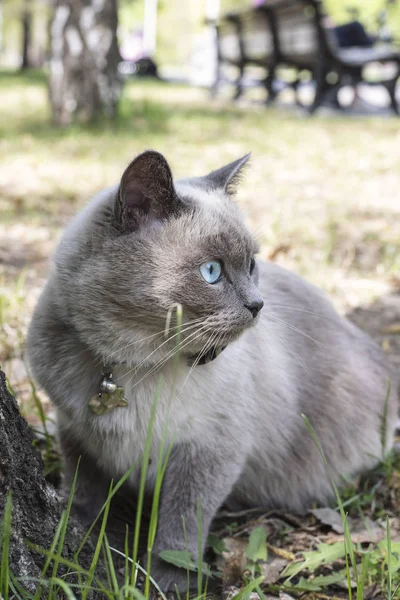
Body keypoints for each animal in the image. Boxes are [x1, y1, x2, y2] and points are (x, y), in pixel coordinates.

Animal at [26, 150, 398, 592]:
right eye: (211, 272)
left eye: (251, 264)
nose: (257, 305)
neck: (132, 365)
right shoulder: (76, 434)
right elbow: (82, 494)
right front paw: (74, 539)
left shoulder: (208, 451)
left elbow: (180, 524)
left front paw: (166, 584)